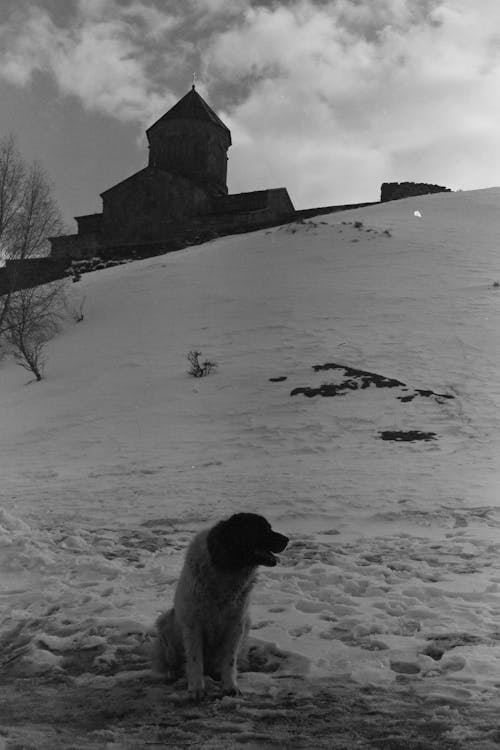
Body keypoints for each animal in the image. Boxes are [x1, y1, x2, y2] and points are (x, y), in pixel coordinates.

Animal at [155, 516, 290, 704]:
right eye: (261, 529)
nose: (287, 539)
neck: (226, 570)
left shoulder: (237, 623)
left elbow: (230, 659)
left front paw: (230, 686)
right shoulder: (193, 624)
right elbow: (195, 660)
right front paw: (196, 689)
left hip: (247, 622)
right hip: (166, 621)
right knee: (171, 658)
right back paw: (172, 671)